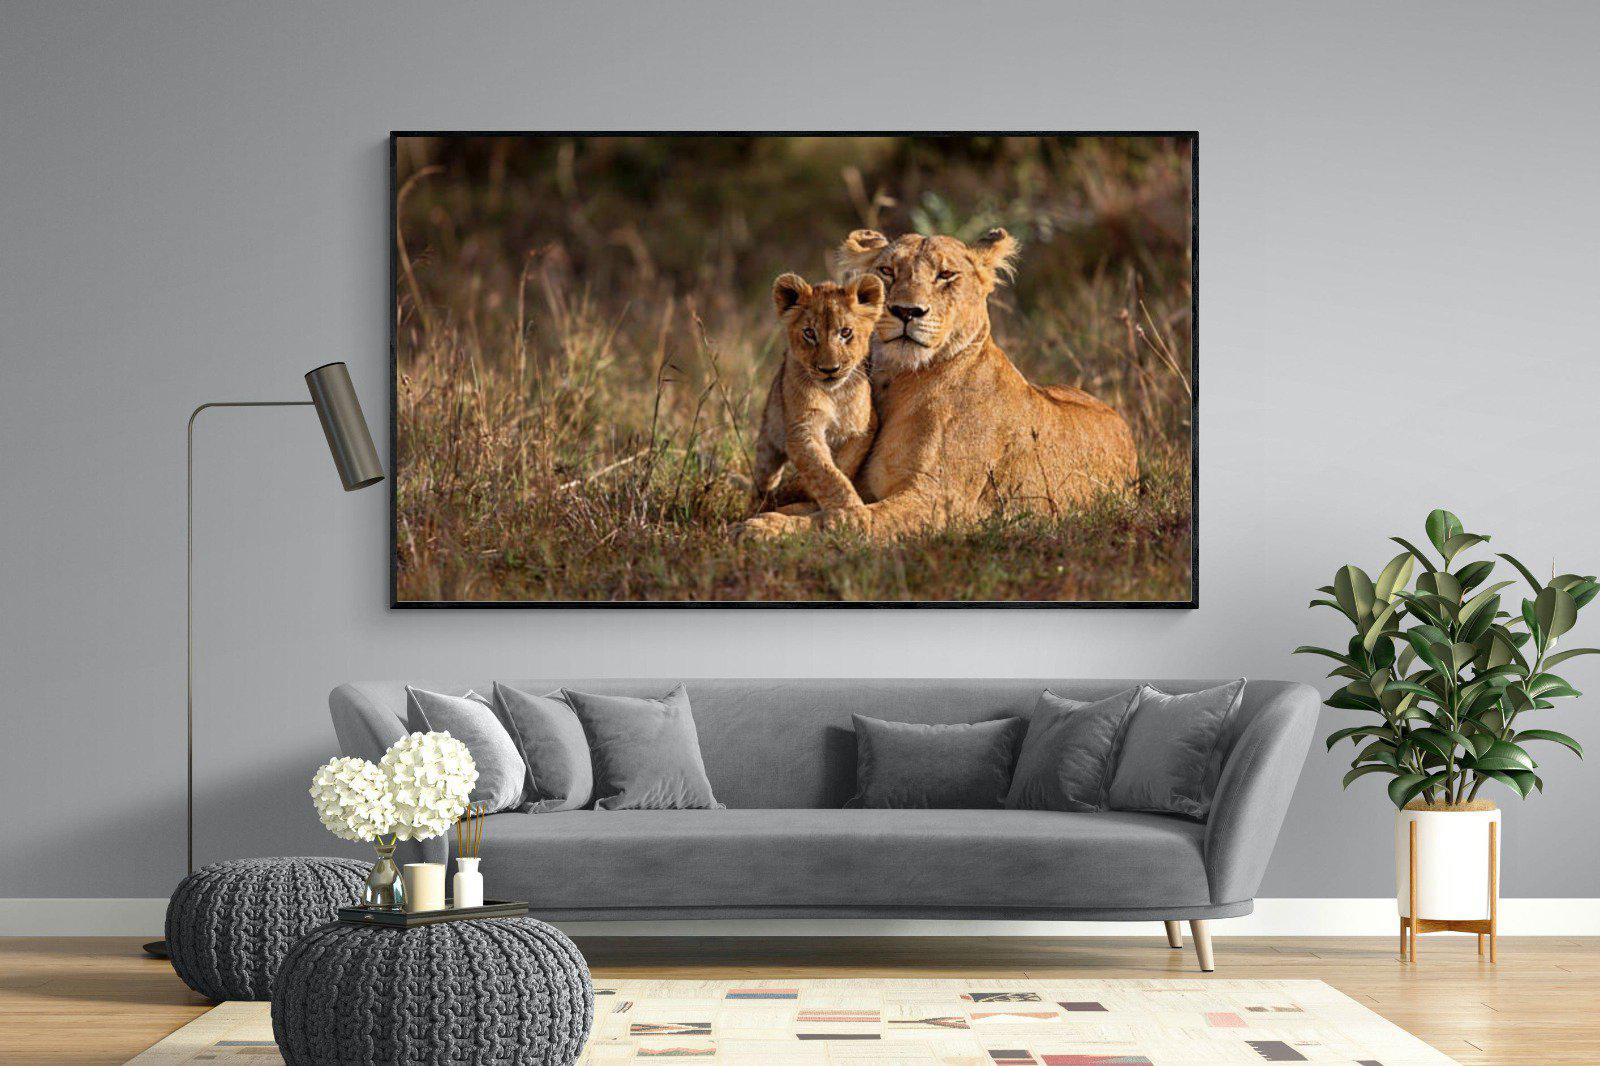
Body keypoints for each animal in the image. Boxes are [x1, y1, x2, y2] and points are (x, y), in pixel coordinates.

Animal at [751, 272, 885, 513]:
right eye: (809, 333)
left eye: (845, 332)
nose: (829, 369)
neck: (834, 395)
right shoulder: (802, 429)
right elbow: (825, 472)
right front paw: (851, 511)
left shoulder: (865, 426)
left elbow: (842, 463)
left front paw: (802, 489)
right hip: (768, 440)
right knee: (763, 479)